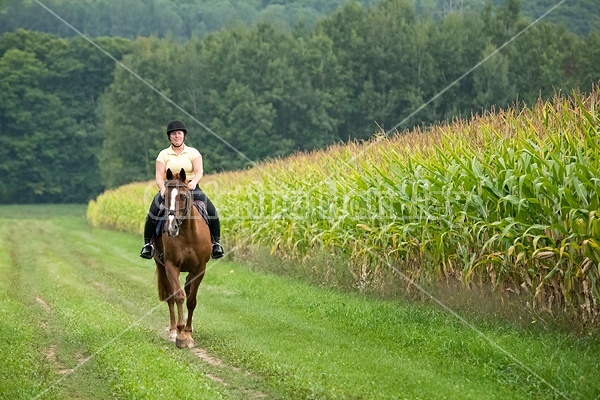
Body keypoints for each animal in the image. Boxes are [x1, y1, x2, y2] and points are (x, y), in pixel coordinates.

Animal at [154, 167, 212, 348]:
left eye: (183, 197)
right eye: (165, 197)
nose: (171, 228)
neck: (187, 234)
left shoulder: (200, 268)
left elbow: (191, 299)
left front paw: (188, 333)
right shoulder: (171, 265)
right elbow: (178, 296)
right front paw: (180, 334)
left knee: (187, 287)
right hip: (161, 266)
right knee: (170, 295)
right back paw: (173, 330)